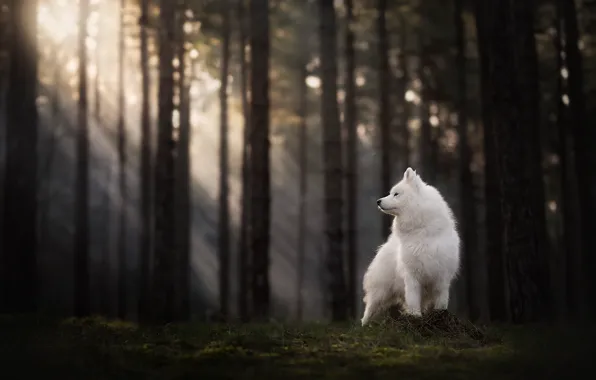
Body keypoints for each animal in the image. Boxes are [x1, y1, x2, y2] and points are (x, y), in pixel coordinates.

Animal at [360, 168, 458, 326]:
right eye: (391, 193)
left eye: (396, 194)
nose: (378, 201)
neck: (421, 233)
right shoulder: (412, 276)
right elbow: (413, 300)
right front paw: (415, 317)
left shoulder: (442, 276)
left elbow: (441, 301)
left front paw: (440, 317)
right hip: (381, 292)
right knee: (369, 309)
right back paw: (364, 326)